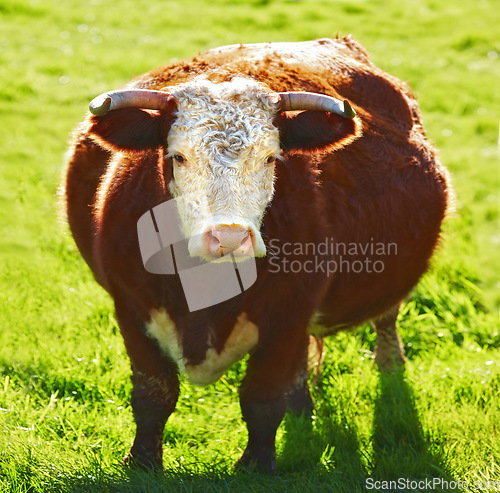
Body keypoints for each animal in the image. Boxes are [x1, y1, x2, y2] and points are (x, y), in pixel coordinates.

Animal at [60, 36, 452, 470]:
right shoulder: (130, 305)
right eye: (178, 156)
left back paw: (389, 367)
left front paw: (256, 465)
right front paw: (143, 461)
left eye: (270, 157)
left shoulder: (289, 313)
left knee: (385, 320)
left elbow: (262, 397)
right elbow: (153, 393)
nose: (229, 238)